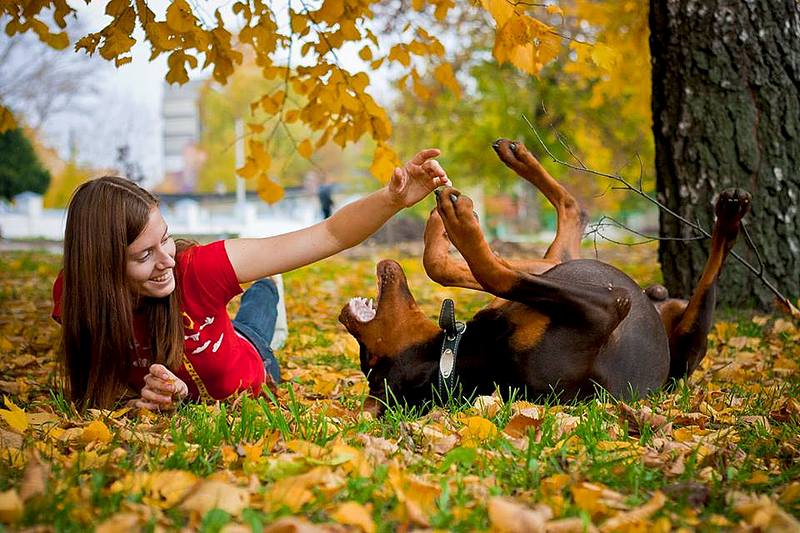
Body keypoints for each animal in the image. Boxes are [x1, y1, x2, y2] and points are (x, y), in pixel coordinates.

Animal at [340, 139, 752, 414]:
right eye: (368, 359)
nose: (343, 316)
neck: (456, 353)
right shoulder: (607, 307)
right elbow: (495, 273)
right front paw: (459, 222)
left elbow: (457, 268)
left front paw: (445, 224)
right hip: (687, 345)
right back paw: (729, 219)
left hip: (558, 269)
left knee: (567, 221)